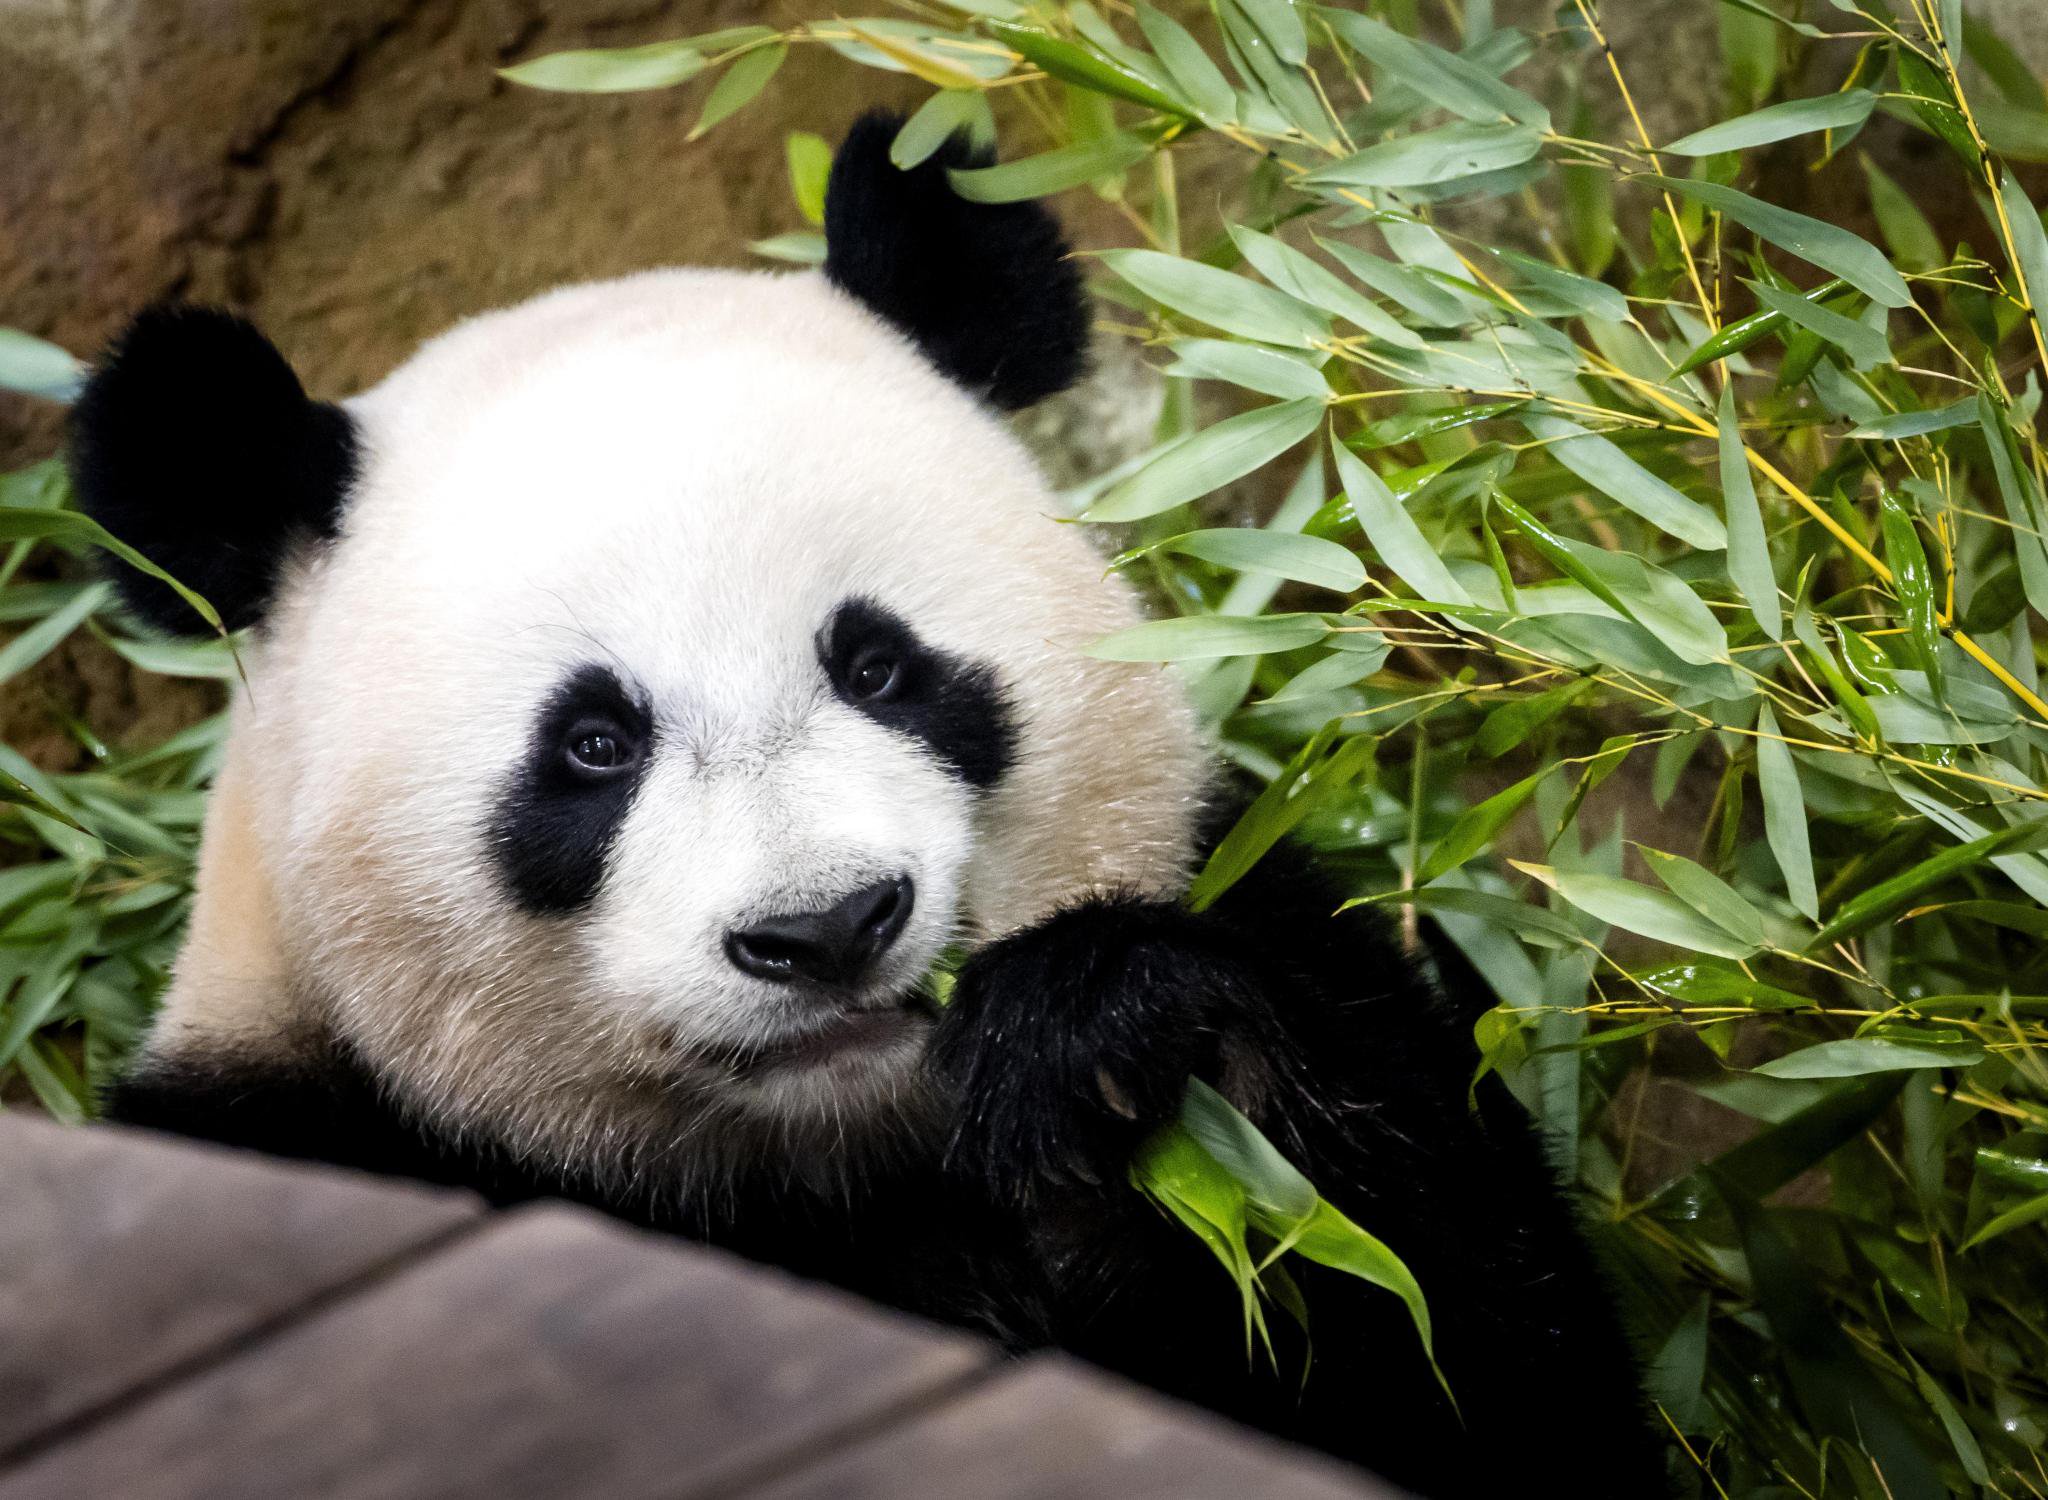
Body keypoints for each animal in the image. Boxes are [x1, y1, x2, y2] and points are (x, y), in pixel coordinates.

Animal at [68, 114, 1663, 1498]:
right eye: (591, 746)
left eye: (881, 667)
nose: (827, 929)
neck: (840, 1157)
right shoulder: (290, 1146)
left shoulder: (1272, 919)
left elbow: (1486, 1369)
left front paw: (1107, 1042)